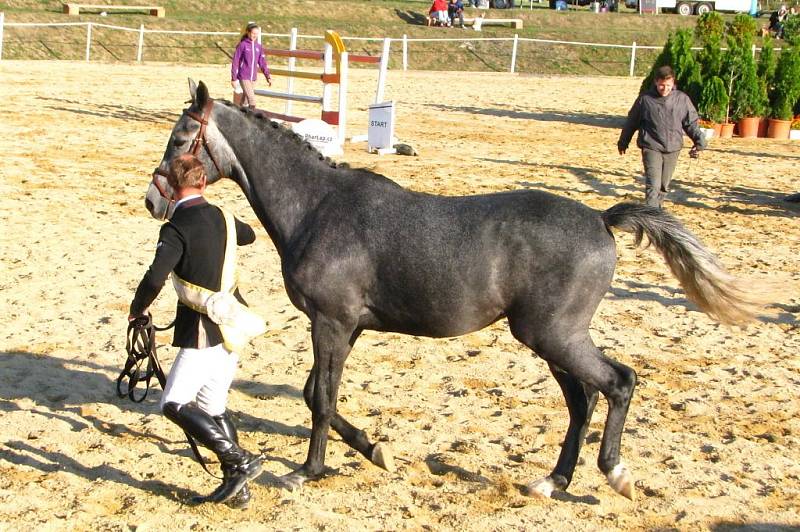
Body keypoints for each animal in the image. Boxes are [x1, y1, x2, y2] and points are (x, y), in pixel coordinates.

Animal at [147, 81, 764, 500]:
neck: (318, 207)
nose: (154, 202)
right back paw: (553, 480)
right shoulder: (347, 327)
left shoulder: (331, 321)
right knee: (582, 400)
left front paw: (308, 470)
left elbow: (319, 398)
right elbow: (314, 393)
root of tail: (600, 218)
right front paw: (376, 450)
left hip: (553, 334)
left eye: (180, 138)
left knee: (617, 383)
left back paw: (613, 472)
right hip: (551, 339)